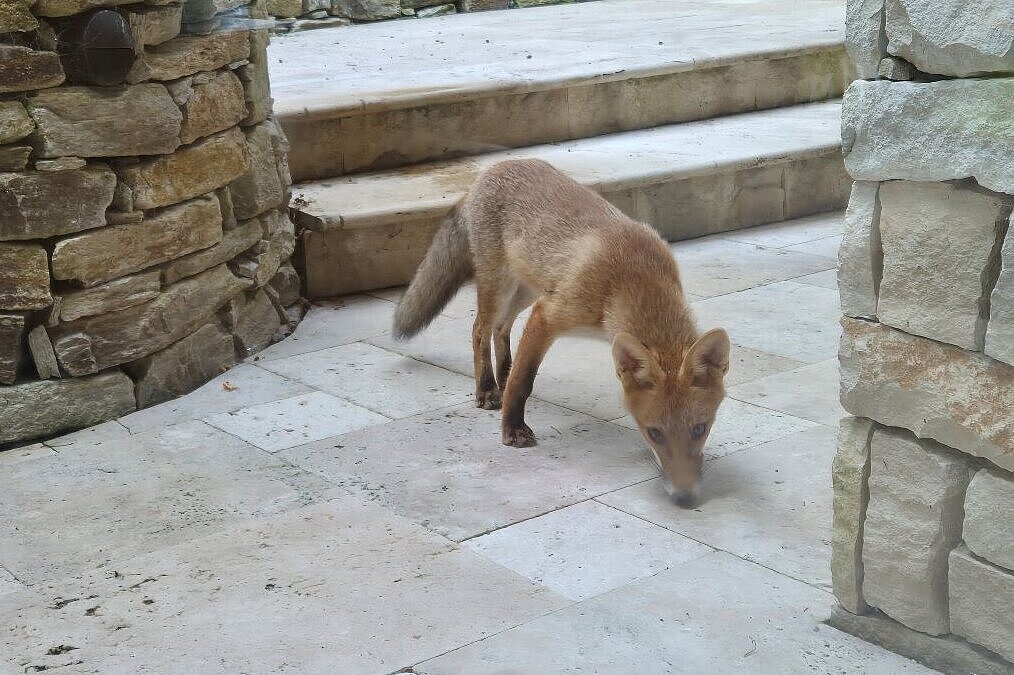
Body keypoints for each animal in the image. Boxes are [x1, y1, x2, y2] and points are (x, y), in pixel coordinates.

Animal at [393, 159, 730, 508]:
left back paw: (502, 374)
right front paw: (513, 430)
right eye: (655, 433)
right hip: (501, 286)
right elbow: (523, 382)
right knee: (479, 330)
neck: (631, 281)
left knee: (502, 328)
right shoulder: (549, 315)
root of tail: (491, 169)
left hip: (528, 288)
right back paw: (487, 388)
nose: (686, 498)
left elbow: (519, 370)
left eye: (700, 429)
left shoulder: (546, 307)